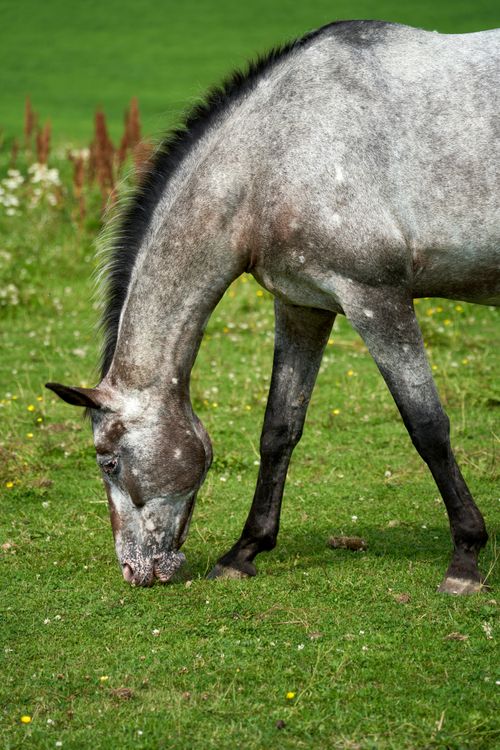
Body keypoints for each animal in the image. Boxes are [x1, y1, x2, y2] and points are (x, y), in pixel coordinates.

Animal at [46, 20, 499, 593]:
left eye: (107, 463)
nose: (133, 570)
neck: (275, 157)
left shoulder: (376, 299)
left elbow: (428, 427)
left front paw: (466, 556)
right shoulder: (302, 307)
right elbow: (279, 430)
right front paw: (245, 551)